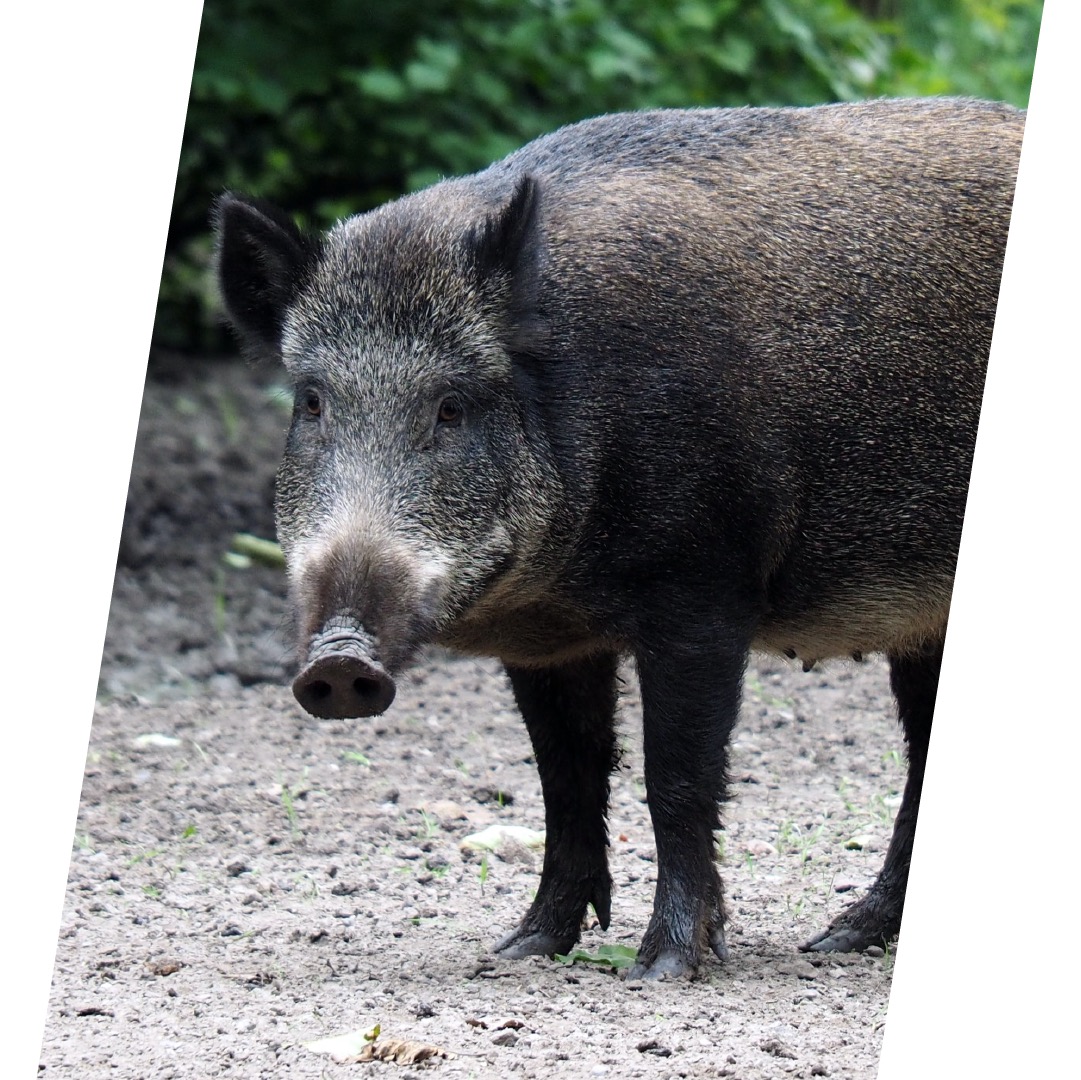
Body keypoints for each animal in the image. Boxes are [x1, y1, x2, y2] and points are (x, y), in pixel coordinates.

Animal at [214, 97, 1024, 980]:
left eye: (452, 406)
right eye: (312, 402)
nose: (337, 661)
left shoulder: (706, 589)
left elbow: (676, 775)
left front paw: (665, 967)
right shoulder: (545, 643)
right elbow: (565, 779)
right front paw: (523, 948)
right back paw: (838, 937)